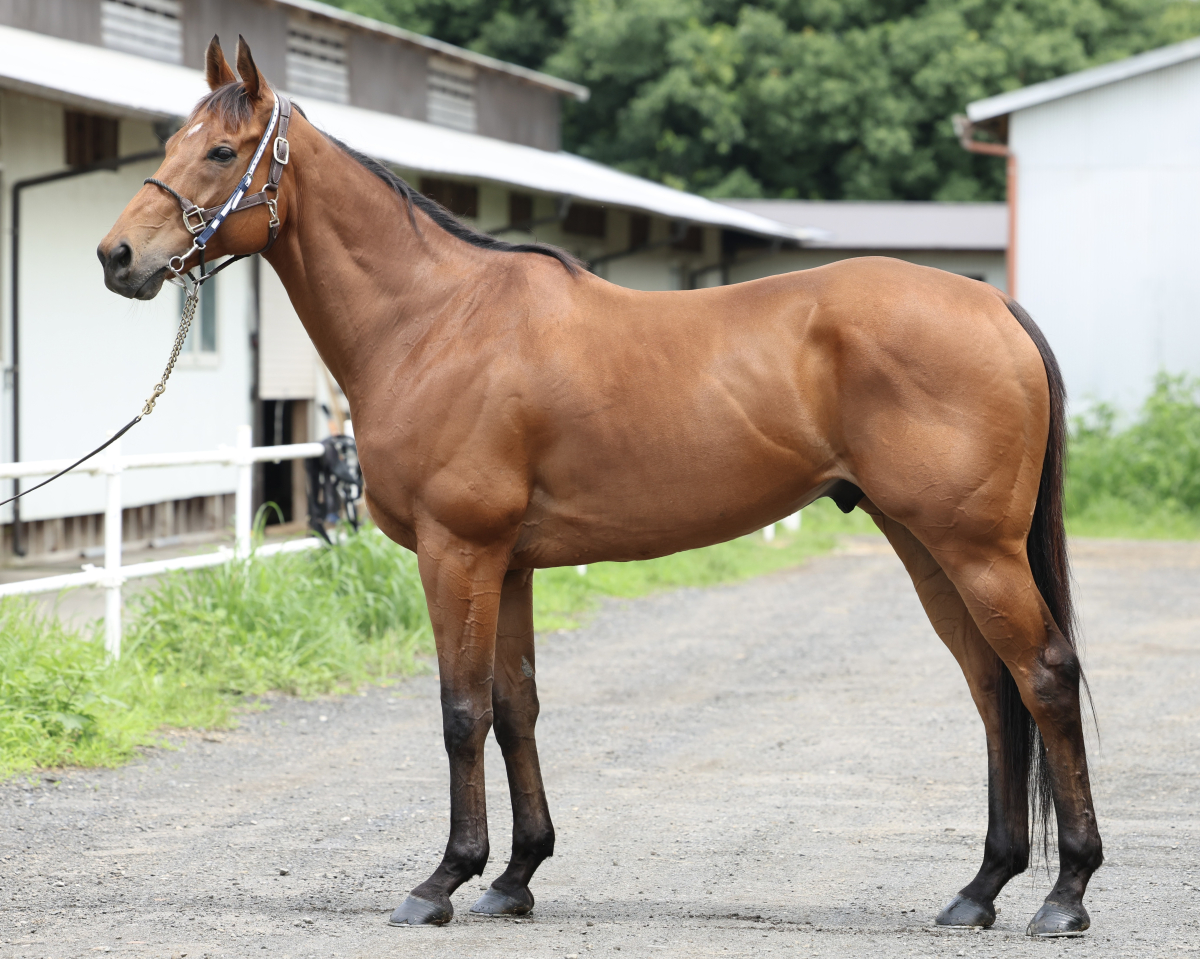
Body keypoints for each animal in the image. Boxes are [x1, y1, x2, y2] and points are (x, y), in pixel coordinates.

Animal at [97, 36, 1102, 937]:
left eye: (220, 151)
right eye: (170, 143)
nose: (117, 257)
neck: (434, 319)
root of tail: (991, 301)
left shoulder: (457, 550)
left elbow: (461, 710)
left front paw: (443, 880)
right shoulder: (507, 564)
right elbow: (516, 707)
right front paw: (515, 876)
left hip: (973, 548)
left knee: (1044, 677)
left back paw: (1065, 894)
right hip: (924, 544)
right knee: (992, 687)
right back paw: (981, 887)